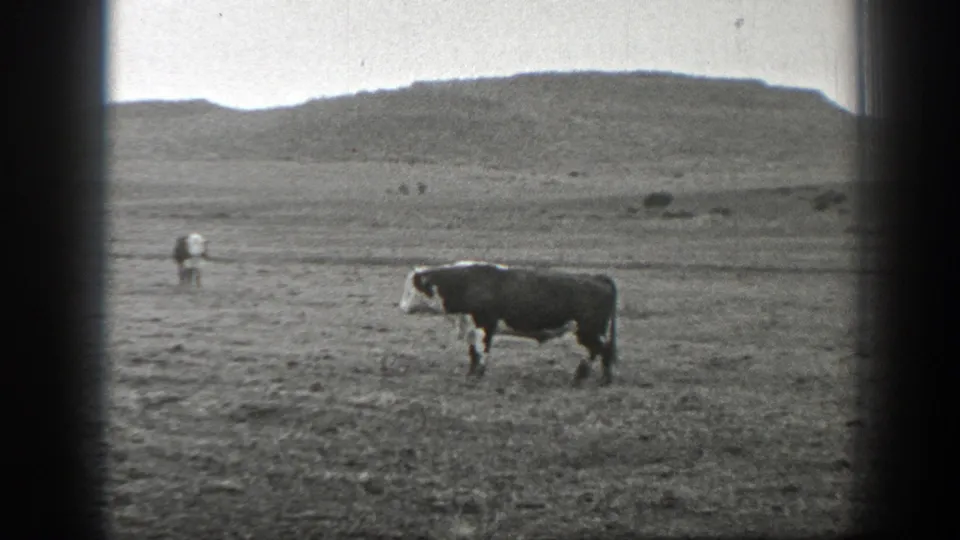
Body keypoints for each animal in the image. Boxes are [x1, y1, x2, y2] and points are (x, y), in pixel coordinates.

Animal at [398, 260, 618, 386]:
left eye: (411, 289)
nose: (401, 307)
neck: (466, 283)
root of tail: (597, 278)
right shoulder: (471, 328)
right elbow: (472, 352)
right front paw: (471, 373)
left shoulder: (484, 326)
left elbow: (481, 351)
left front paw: (477, 376)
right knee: (598, 351)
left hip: (589, 330)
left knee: (602, 350)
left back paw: (597, 379)